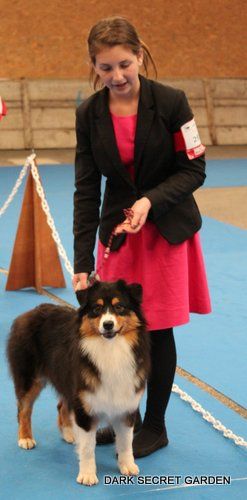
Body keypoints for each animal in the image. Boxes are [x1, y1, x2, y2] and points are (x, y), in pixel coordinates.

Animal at [6, 280, 150, 486]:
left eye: (119, 307)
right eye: (97, 308)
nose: (108, 325)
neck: (111, 349)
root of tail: (30, 312)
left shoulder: (125, 404)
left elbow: (125, 442)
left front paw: (127, 466)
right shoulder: (85, 404)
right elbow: (88, 448)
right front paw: (87, 475)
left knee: (61, 406)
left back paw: (69, 433)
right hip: (30, 376)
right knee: (23, 409)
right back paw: (25, 438)